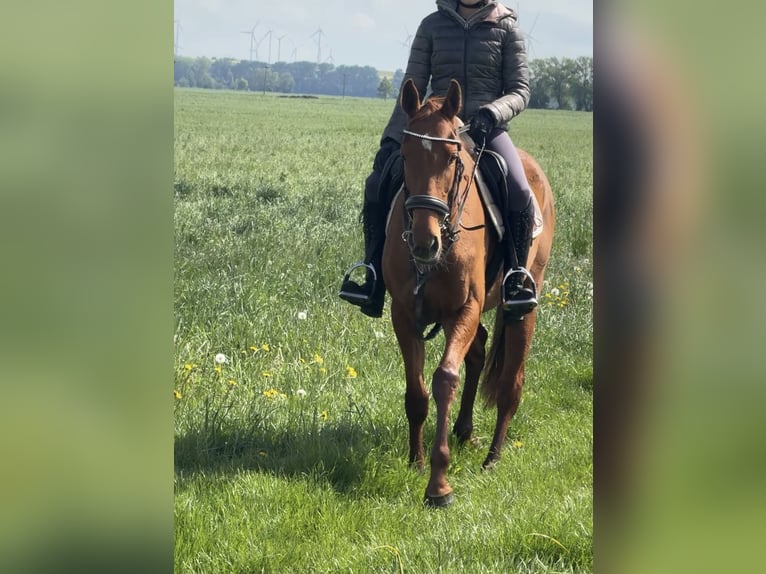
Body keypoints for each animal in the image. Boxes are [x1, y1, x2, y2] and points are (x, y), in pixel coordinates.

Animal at [381, 78, 556, 507]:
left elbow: (445, 378)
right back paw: (464, 430)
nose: (424, 242)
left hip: (522, 306)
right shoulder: (405, 314)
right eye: (405, 155)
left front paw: (439, 485)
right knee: (478, 352)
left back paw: (492, 458)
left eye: (451, 158)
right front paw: (416, 462)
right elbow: (416, 391)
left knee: (511, 383)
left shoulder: (464, 309)